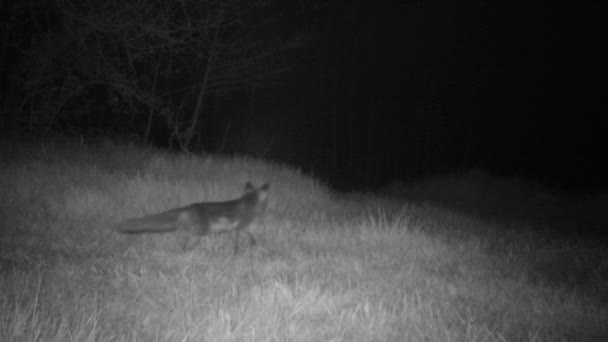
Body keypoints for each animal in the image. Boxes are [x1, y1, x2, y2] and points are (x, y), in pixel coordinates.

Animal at [114, 182, 270, 254]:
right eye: (265, 203)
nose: (266, 210)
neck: (248, 203)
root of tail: (188, 207)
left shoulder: (236, 228)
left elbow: (250, 236)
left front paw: (254, 243)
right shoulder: (238, 228)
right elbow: (238, 242)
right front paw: (236, 253)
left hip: (194, 230)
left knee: (182, 236)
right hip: (201, 231)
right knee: (185, 237)